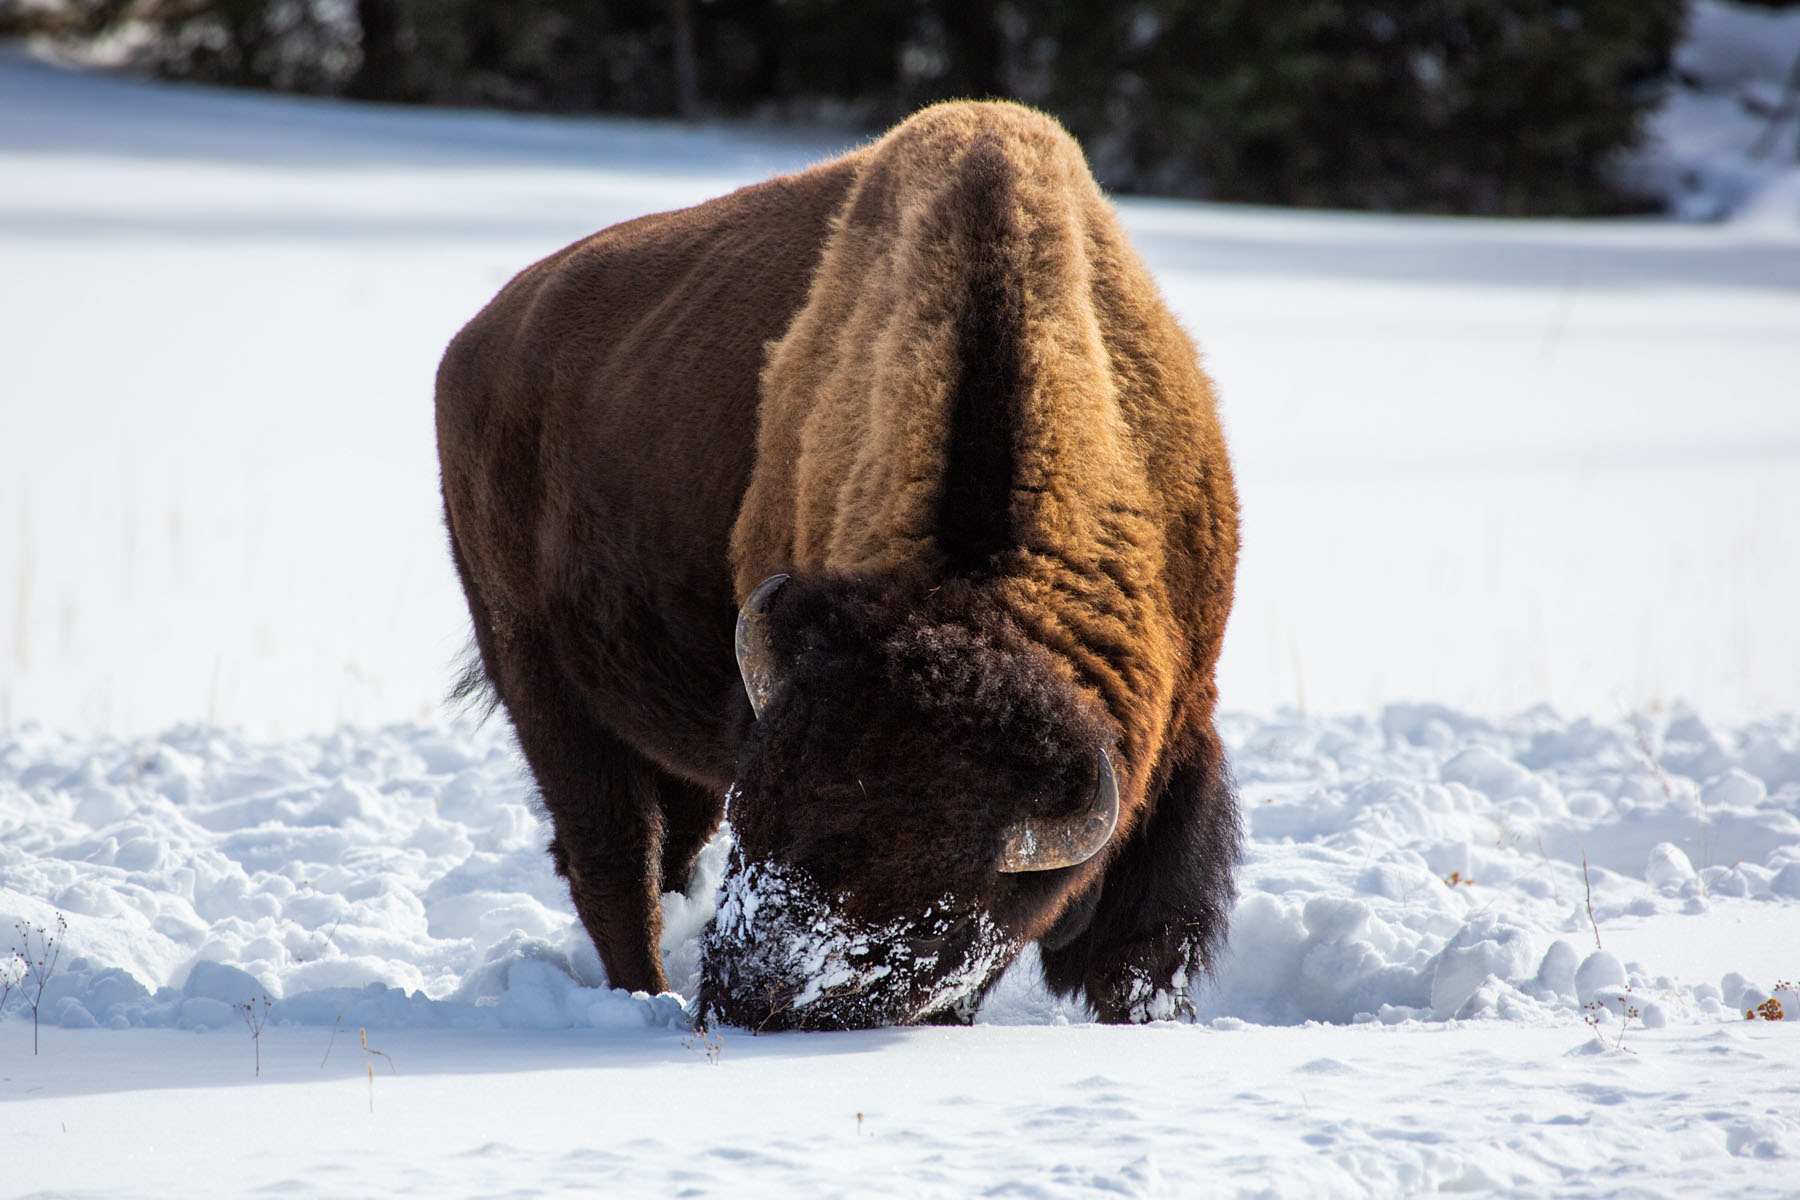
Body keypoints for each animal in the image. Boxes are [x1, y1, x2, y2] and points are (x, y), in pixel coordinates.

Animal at [435, 100, 1239, 1029]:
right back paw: (647, 994)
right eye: (758, 829)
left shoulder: (1184, 736)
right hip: (537, 678)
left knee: (658, 852)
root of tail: (472, 346)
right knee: (610, 861)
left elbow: (1139, 954)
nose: (748, 1003)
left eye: (930, 926)